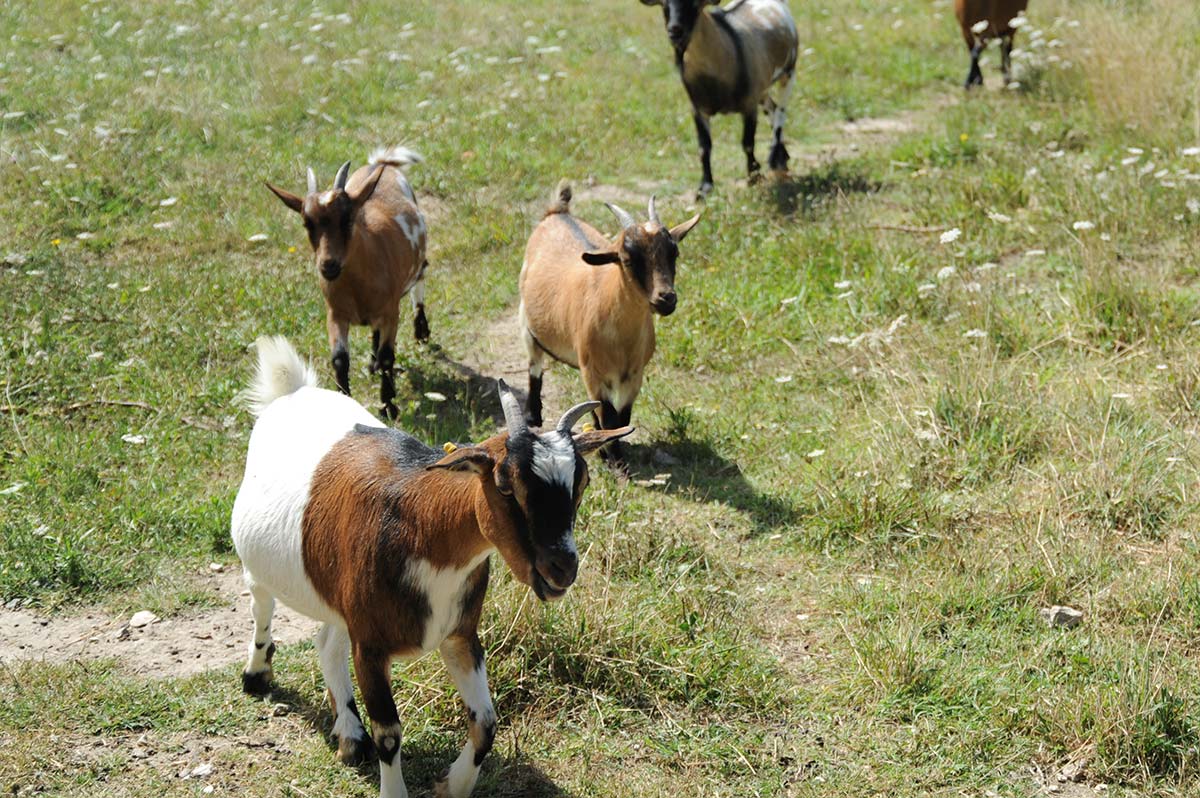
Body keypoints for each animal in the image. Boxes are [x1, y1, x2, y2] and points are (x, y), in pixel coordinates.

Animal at [228, 333, 633, 796]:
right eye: (504, 486)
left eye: (581, 482)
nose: (562, 567)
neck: (421, 527)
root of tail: (293, 389)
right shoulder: (370, 647)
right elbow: (389, 733)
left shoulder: (459, 633)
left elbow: (487, 723)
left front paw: (452, 785)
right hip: (256, 563)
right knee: (261, 605)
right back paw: (257, 674)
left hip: (338, 592)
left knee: (327, 641)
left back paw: (349, 735)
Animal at [267, 145, 432, 417]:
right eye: (307, 223)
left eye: (347, 218)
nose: (329, 265)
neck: (357, 288)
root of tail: (380, 164)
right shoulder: (336, 314)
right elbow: (339, 359)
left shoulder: (391, 311)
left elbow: (388, 356)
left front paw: (388, 405)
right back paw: (372, 362)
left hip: (417, 266)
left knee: (420, 283)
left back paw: (421, 331)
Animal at [518, 183, 700, 470]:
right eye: (627, 259)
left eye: (674, 253)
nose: (666, 298)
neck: (621, 340)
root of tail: (557, 213)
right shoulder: (593, 371)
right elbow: (608, 415)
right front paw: (615, 461)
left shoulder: (633, 374)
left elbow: (621, 416)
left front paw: (612, 453)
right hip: (526, 322)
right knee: (534, 365)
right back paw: (532, 416)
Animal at [643, 0, 801, 198]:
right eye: (664, 4)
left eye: (695, 4)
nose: (674, 30)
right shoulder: (698, 109)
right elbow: (704, 147)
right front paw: (704, 188)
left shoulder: (749, 106)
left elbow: (747, 143)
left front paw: (754, 177)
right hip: (762, 88)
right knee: (772, 108)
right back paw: (782, 157)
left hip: (788, 73)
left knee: (780, 112)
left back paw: (774, 159)